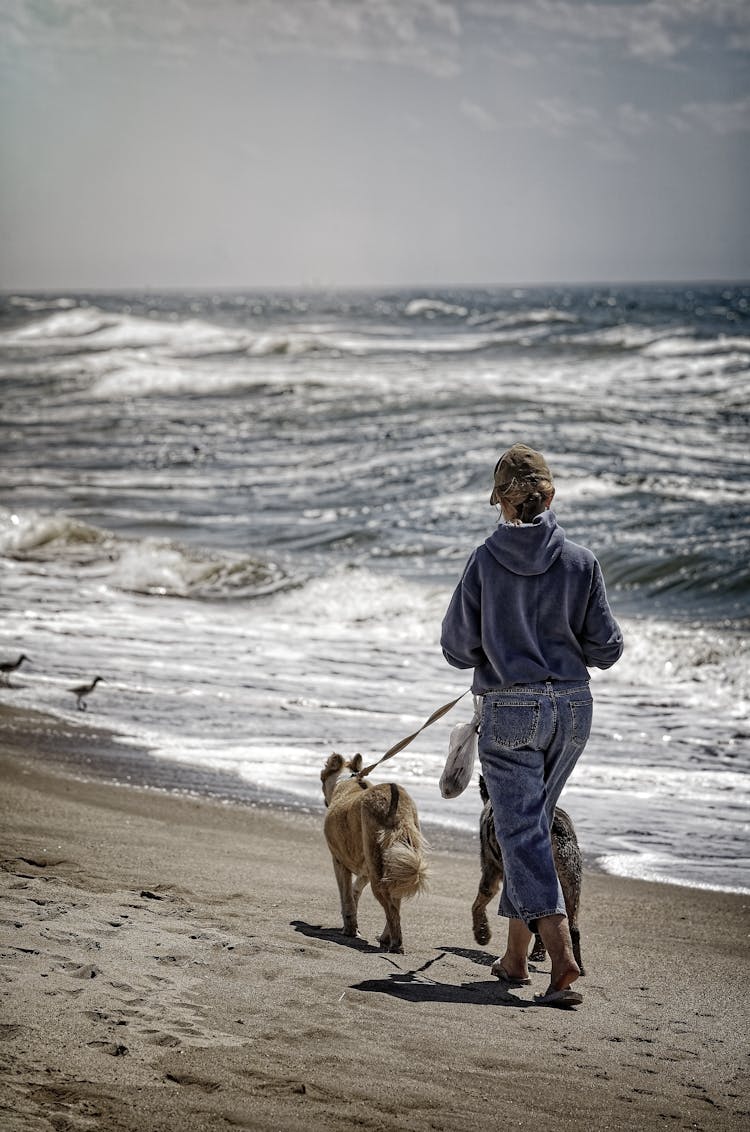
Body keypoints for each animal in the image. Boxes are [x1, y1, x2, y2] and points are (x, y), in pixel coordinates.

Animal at [321, 756, 432, 950]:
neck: (346, 780)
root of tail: (397, 808)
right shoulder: (366, 869)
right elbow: (355, 891)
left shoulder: (338, 861)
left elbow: (346, 898)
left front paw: (350, 929)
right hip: (396, 861)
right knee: (395, 903)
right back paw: (386, 938)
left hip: (378, 870)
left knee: (391, 909)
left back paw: (395, 944)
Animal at [470, 778, 588, 973]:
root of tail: (556, 827)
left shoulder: (490, 872)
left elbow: (477, 906)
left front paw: (482, 933)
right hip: (571, 886)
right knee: (572, 929)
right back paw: (576, 966)